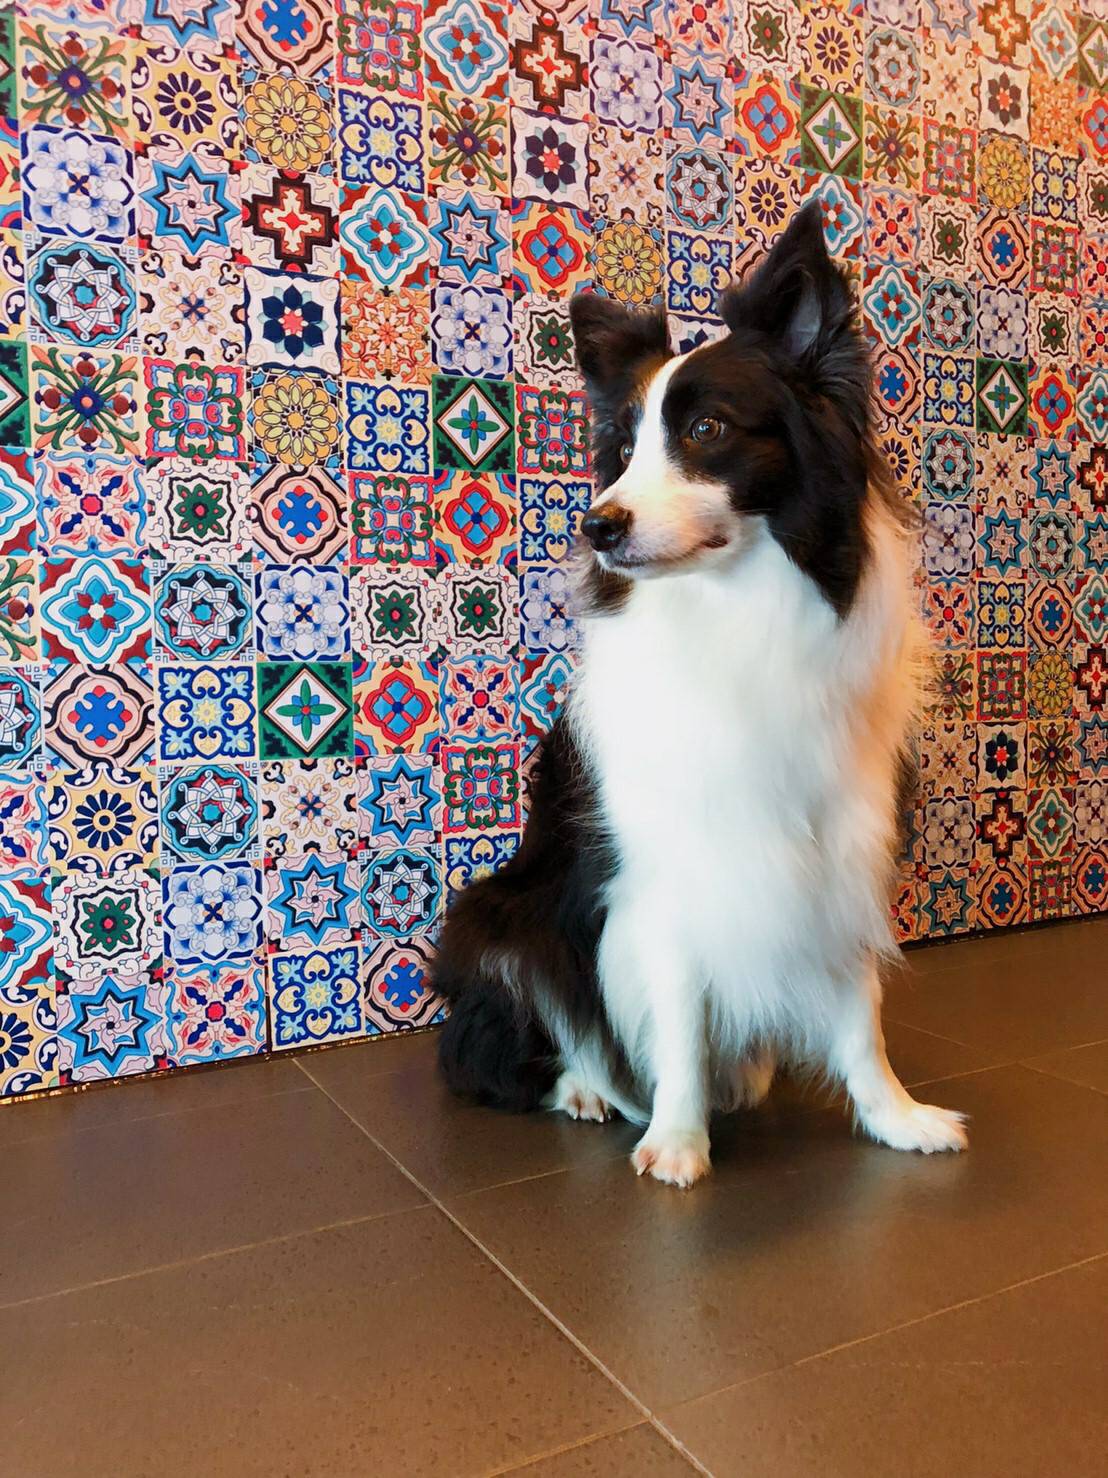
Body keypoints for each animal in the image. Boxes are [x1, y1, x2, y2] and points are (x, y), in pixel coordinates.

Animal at [432, 201, 967, 1187]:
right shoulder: (666, 868)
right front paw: (678, 1140)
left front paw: (895, 1117)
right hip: (498, 916)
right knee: (548, 1033)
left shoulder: (842, 846)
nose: (597, 524)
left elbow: (859, 1013)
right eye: (621, 449)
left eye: (709, 430)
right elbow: (676, 1011)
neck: (736, 612)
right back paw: (590, 1091)